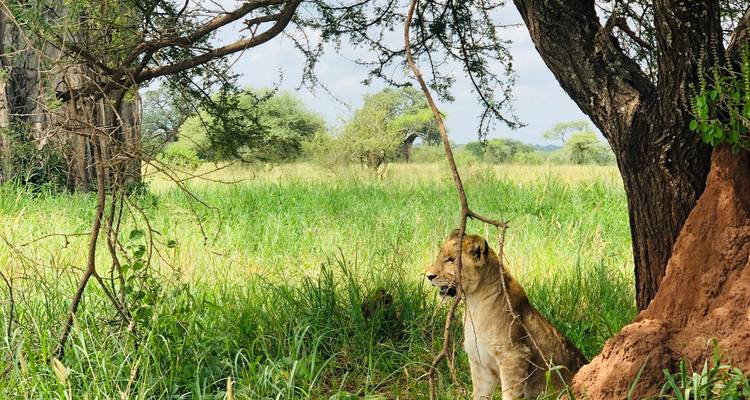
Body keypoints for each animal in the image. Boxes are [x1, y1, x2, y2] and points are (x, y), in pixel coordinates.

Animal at [425, 230, 587, 400]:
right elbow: (480, 394)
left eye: (451, 260)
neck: (473, 303)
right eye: (440, 257)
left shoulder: (514, 356)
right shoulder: (480, 363)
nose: (428, 276)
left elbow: (510, 394)